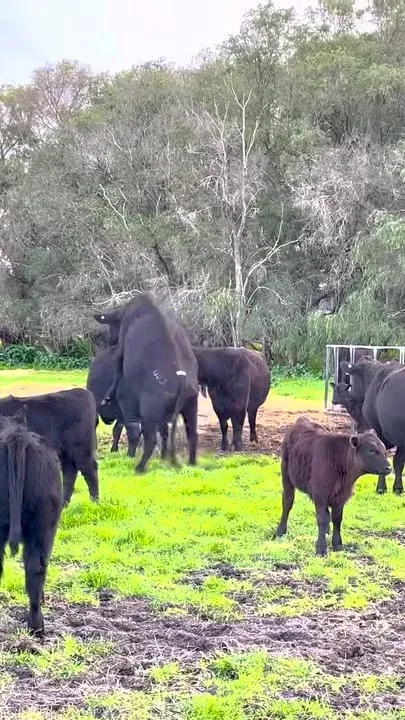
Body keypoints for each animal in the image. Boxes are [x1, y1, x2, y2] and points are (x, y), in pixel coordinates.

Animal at [94, 293, 199, 473]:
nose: (110, 340)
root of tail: (181, 379)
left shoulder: (121, 349)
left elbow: (117, 369)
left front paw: (108, 396)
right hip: (191, 406)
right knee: (192, 435)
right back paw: (191, 464)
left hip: (150, 411)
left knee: (150, 439)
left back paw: (139, 467)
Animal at [274, 417, 390, 556]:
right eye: (371, 451)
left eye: (384, 450)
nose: (389, 467)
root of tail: (302, 420)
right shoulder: (320, 495)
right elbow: (323, 519)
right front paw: (321, 548)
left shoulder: (341, 497)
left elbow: (336, 519)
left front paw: (337, 544)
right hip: (286, 477)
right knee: (287, 502)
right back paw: (280, 531)